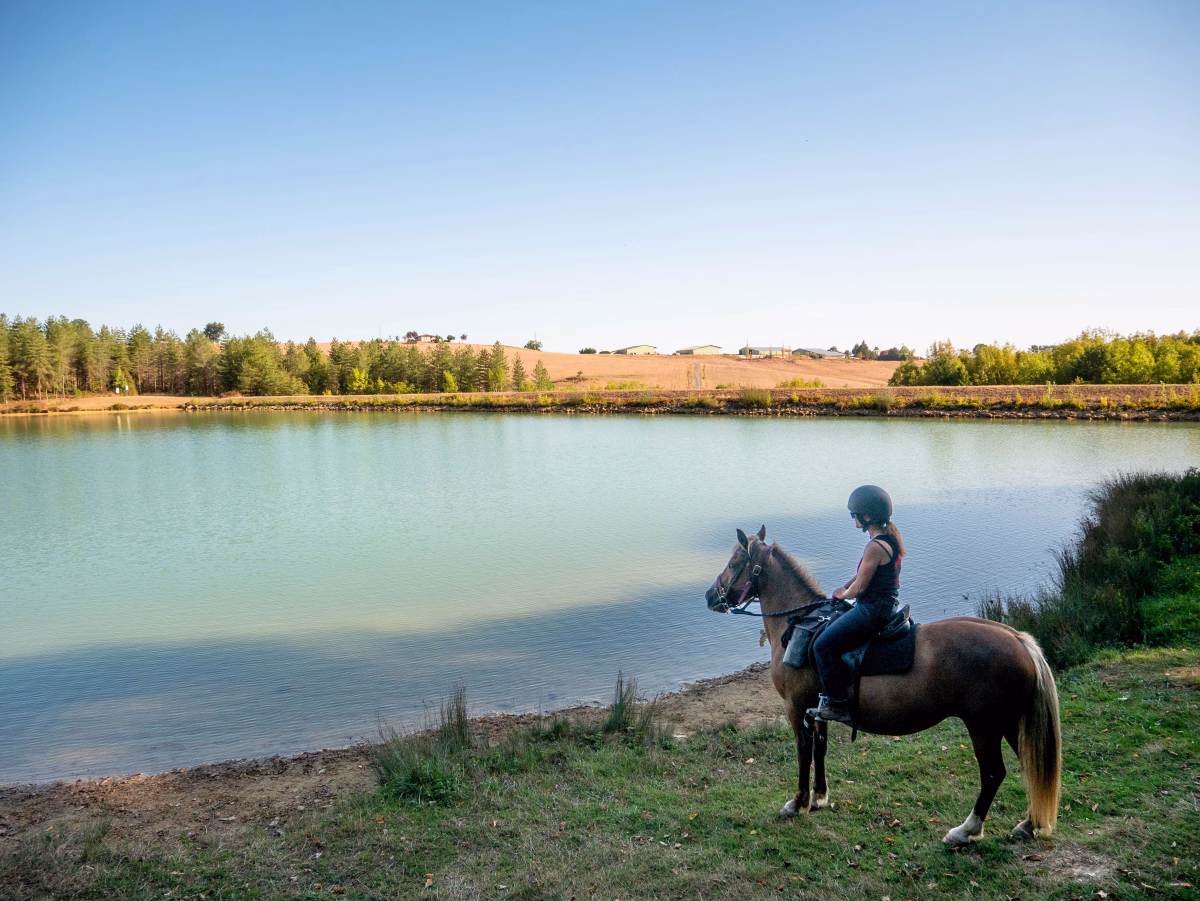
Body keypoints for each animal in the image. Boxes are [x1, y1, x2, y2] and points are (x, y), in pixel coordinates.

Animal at [705, 525, 1061, 846]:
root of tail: (1016, 638)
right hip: (1010, 722)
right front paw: (819, 796)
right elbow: (820, 749)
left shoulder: (796, 707)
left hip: (984, 726)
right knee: (1029, 765)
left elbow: (804, 752)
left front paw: (799, 802)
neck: (800, 624)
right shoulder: (816, 709)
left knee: (992, 774)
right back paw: (1028, 824)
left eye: (734, 562)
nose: (710, 596)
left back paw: (966, 830)